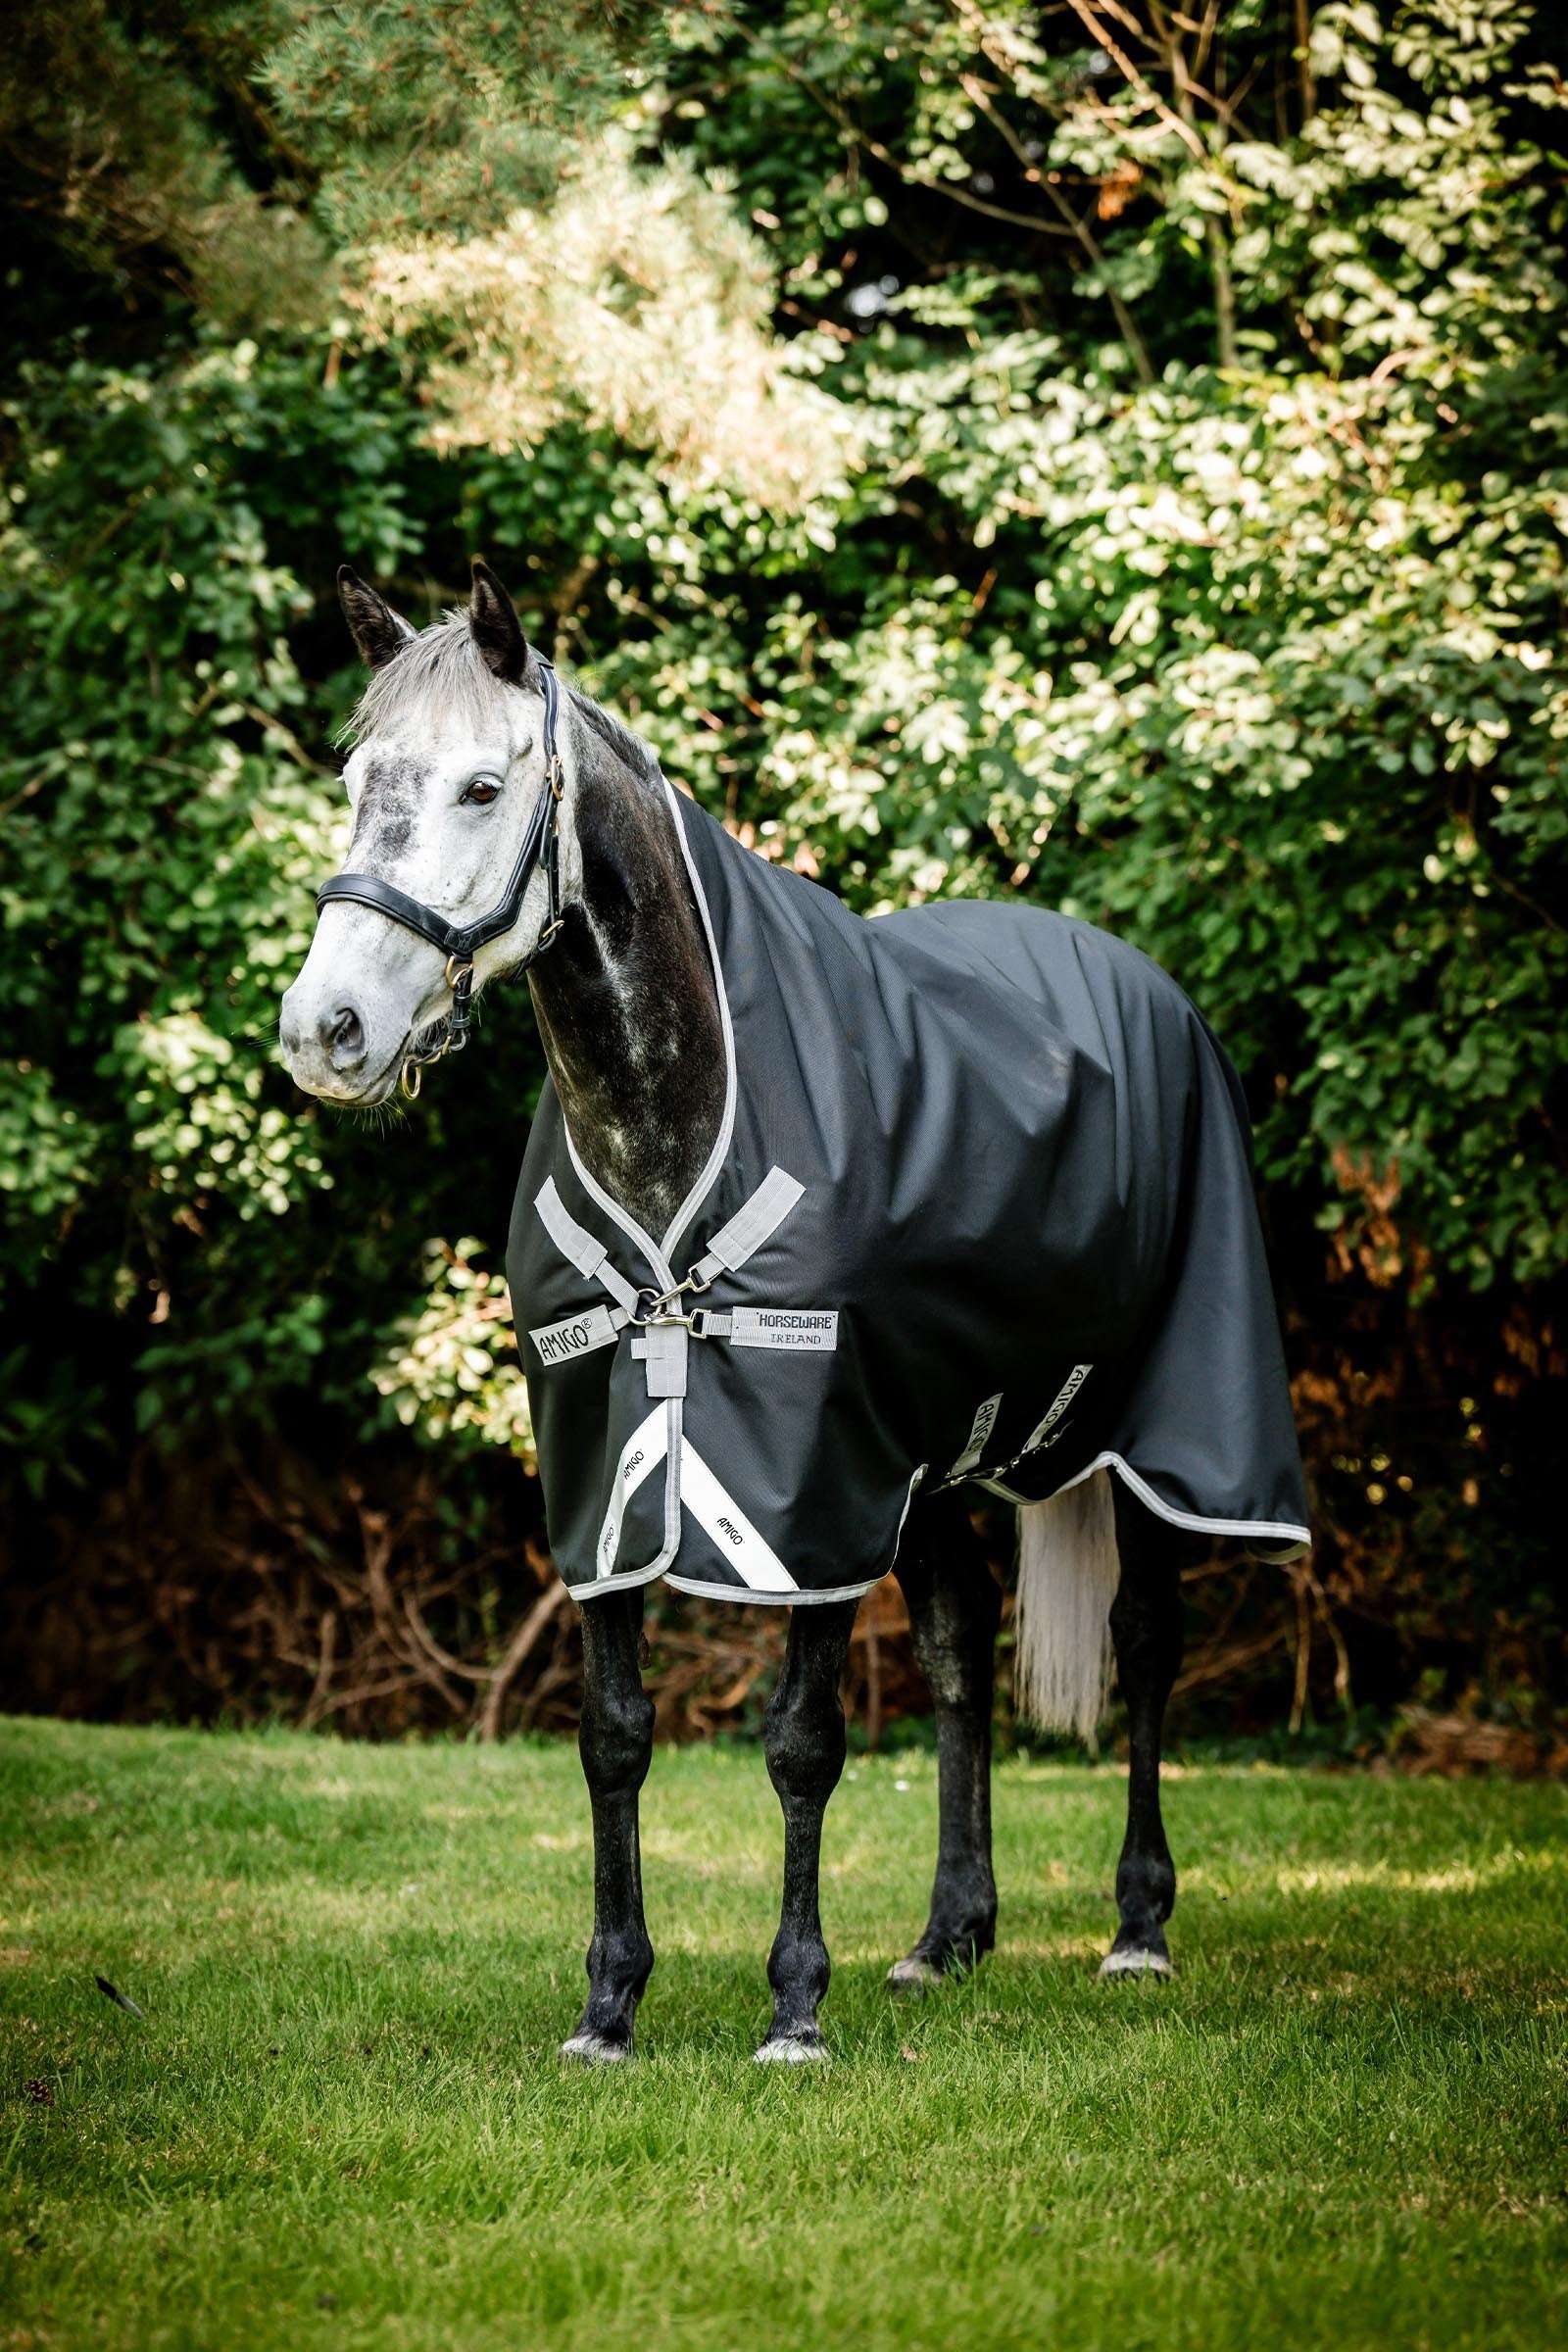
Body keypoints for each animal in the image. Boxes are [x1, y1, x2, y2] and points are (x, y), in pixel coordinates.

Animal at [280, 560, 1310, 2064]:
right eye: (357, 779)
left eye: (481, 786)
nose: (328, 1030)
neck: (681, 1106)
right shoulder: (611, 1477)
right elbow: (614, 1733)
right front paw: (609, 2003)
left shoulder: (805, 1481)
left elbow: (801, 1743)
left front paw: (793, 2004)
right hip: (933, 1454)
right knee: (959, 1654)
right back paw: (948, 1938)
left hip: (1152, 1434)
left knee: (1146, 1645)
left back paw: (1136, 1930)